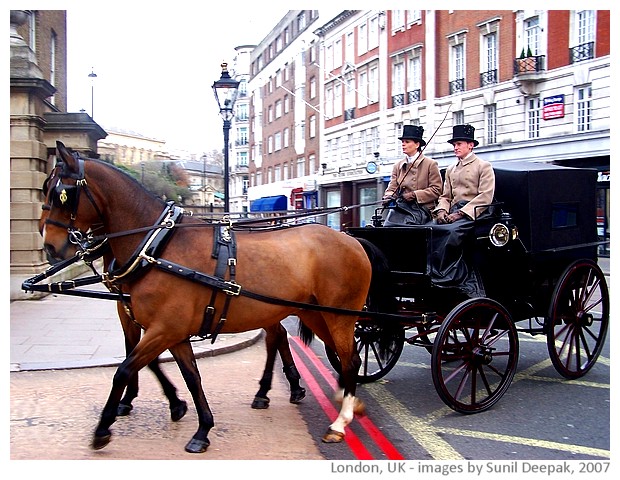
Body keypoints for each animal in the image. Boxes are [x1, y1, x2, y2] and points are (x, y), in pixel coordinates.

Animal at [41, 141, 370, 452]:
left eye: (61, 194)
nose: (49, 247)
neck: (156, 246)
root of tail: (351, 239)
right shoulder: (169, 330)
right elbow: (190, 376)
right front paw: (200, 427)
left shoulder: (164, 328)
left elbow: (124, 369)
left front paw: (103, 427)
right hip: (312, 312)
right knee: (328, 351)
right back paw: (336, 397)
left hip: (338, 315)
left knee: (350, 359)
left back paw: (339, 421)